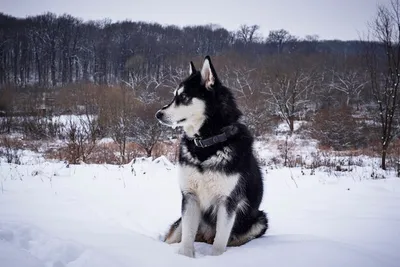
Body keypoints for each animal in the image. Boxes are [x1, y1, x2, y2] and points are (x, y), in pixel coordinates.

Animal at [155, 55, 268, 258]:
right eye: (174, 96)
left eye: (184, 97)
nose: (158, 114)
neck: (207, 144)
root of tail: (204, 237)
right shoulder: (189, 196)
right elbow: (187, 238)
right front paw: (185, 257)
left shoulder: (227, 201)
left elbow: (220, 241)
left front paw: (215, 259)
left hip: (259, 220)